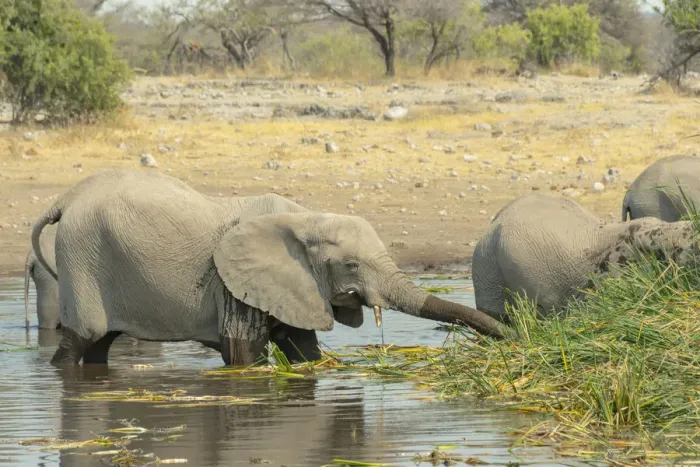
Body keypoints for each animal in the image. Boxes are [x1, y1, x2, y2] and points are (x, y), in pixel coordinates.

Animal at [31, 169, 507, 367]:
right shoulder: (236, 284)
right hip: (83, 258)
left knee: (99, 347)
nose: (514, 337)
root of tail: (65, 200)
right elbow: (242, 355)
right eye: (351, 266)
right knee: (81, 341)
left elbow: (303, 351)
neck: (307, 219)